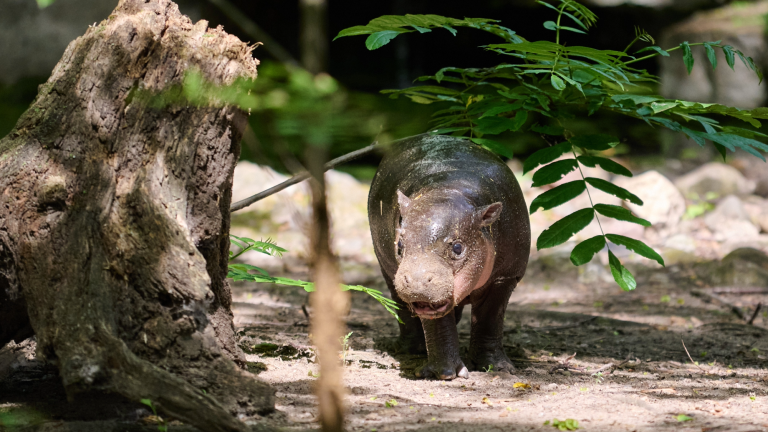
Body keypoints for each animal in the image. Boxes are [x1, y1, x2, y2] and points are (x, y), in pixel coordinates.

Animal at [368, 134, 531, 380]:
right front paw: (444, 373)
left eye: (457, 247)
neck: (447, 193)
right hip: (388, 271)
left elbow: (490, 320)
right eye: (400, 244)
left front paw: (498, 368)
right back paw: (411, 349)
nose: (417, 280)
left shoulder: (505, 278)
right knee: (403, 310)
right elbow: (438, 326)